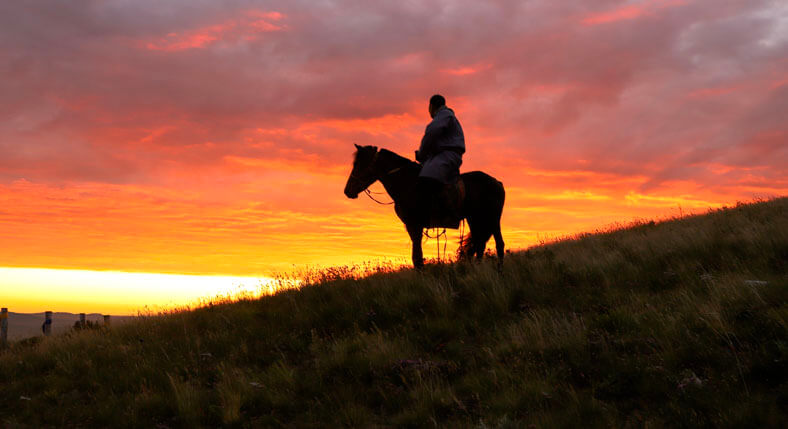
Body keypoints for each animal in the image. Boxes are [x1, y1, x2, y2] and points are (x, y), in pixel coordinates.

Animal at [344, 145, 504, 270]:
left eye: (359, 164)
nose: (347, 191)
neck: (408, 183)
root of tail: (497, 182)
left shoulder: (414, 225)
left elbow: (417, 257)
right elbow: (417, 255)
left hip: (492, 219)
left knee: (498, 244)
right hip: (475, 219)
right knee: (480, 244)